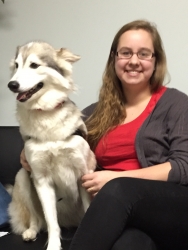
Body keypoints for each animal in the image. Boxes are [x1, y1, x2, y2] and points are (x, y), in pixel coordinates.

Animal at [7, 41, 96, 250]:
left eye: (34, 65)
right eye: (16, 65)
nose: (11, 85)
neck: (46, 116)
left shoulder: (84, 174)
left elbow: (89, 212)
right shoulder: (42, 180)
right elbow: (51, 222)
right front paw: (54, 245)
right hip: (23, 176)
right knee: (37, 219)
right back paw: (30, 231)